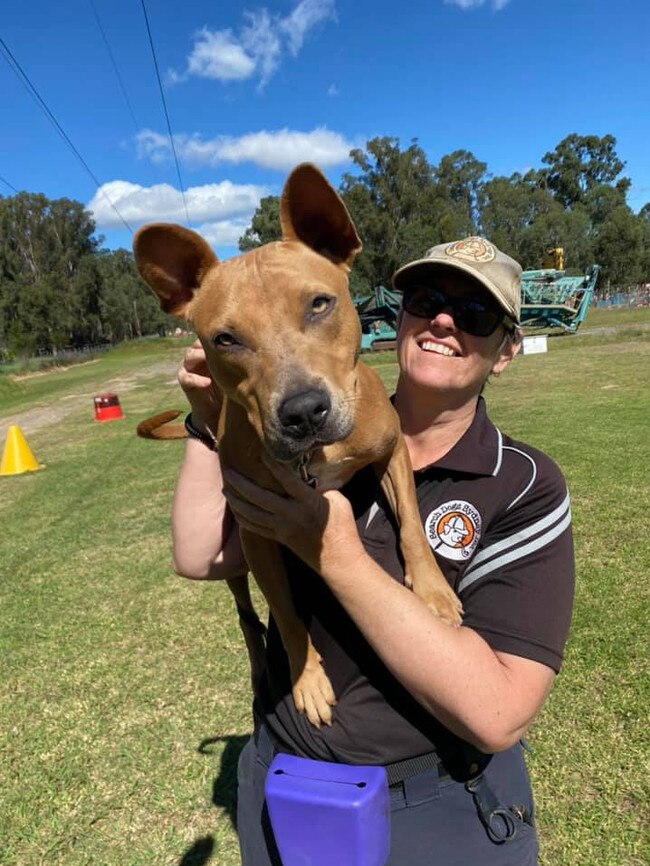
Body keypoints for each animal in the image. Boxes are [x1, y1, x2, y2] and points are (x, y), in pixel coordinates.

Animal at [133, 162, 460, 724]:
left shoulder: (392, 451)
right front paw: (306, 678)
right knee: (246, 614)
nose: (304, 412)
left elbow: (413, 524)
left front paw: (433, 589)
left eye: (319, 304)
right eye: (225, 339)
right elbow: (285, 615)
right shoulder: (257, 533)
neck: (315, 457)